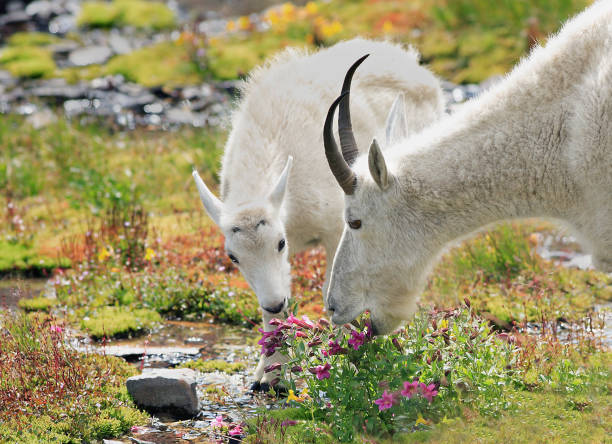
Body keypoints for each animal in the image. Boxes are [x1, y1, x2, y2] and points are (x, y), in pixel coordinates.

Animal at [192, 40, 444, 390]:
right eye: (233, 257)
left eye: (280, 243)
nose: (274, 301)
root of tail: (416, 65)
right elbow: (275, 305)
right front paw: (271, 376)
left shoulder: (336, 231)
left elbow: (333, 291)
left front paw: (347, 363)